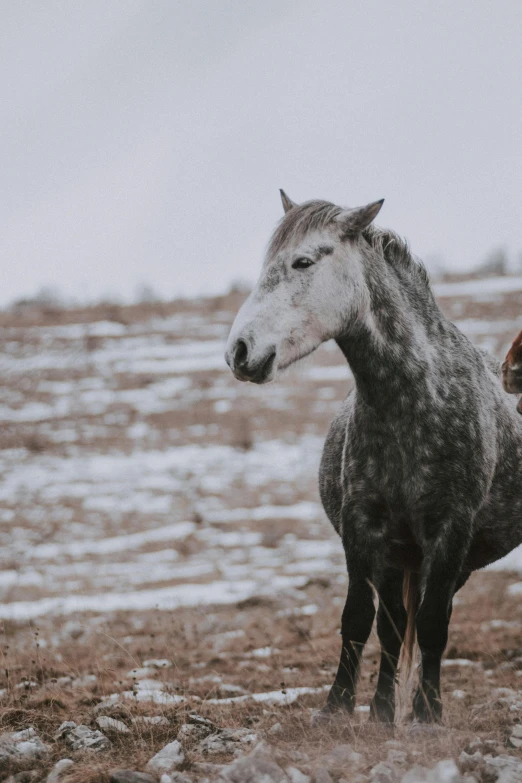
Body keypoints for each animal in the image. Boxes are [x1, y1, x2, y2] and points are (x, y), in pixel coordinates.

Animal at [225, 193, 520, 724]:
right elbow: (360, 619)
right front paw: (337, 708)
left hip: (449, 562)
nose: (239, 351)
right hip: (399, 557)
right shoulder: (362, 527)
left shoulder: (450, 530)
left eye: (303, 261)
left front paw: (427, 717)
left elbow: (433, 625)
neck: (411, 401)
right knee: (393, 623)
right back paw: (382, 711)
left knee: (425, 619)